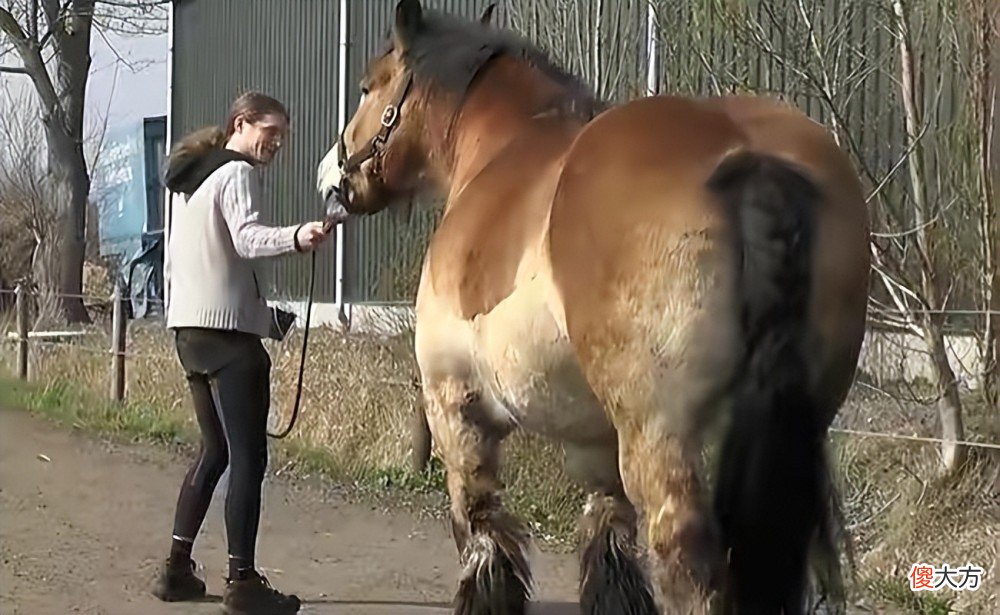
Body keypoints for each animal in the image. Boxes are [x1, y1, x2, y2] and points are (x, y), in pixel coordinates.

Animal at [317, 2, 870, 613]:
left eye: (367, 86)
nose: (331, 178)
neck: (500, 151)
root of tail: (746, 153)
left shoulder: (454, 404)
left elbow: (480, 524)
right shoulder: (594, 440)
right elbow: (608, 539)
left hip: (658, 435)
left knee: (685, 557)